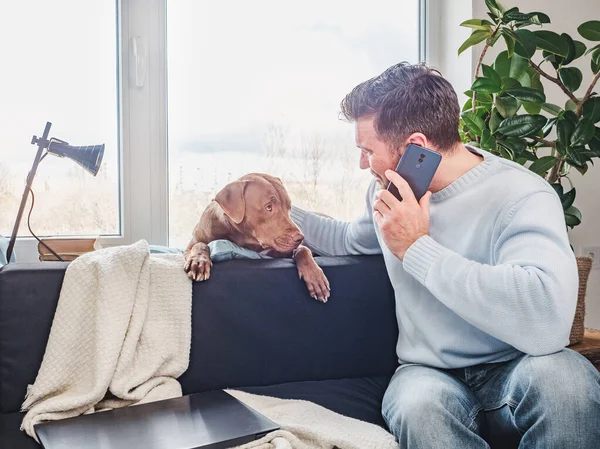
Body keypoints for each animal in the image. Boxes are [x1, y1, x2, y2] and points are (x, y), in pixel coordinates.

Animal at [184, 173, 330, 302]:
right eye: (269, 207)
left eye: (289, 207)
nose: (300, 238)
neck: (243, 237)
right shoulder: (190, 247)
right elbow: (200, 244)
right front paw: (199, 261)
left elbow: (302, 250)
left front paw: (315, 276)